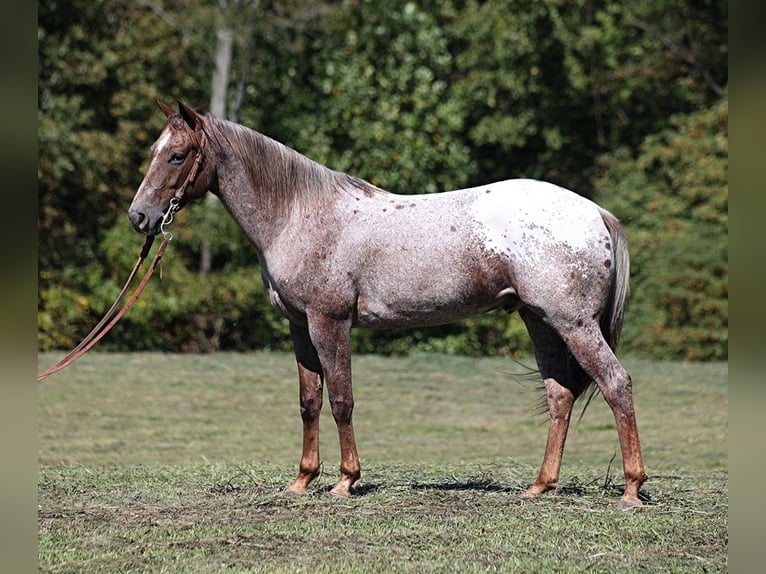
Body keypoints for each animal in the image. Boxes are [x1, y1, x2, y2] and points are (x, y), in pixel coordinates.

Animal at [130, 101, 648, 510]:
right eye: (154, 151)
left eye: (177, 155)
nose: (139, 217)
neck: (298, 214)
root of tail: (595, 212)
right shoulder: (299, 327)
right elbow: (309, 402)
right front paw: (302, 480)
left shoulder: (330, 322)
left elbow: (341, 400)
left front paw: (345, 481)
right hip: (540, 321)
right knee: (560, 395)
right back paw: (540, 486)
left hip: (574, 323)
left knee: (616, 384)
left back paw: (631, 489)